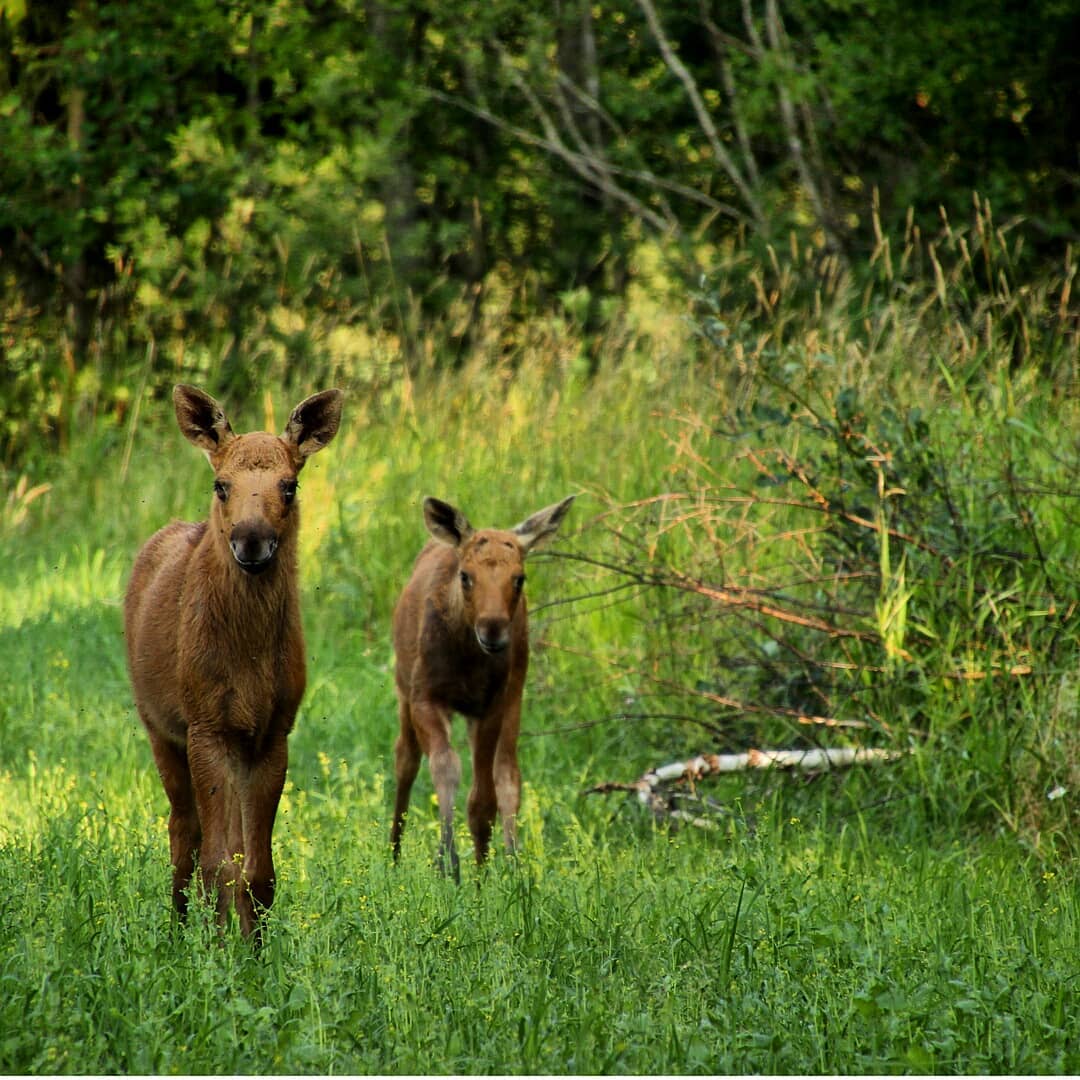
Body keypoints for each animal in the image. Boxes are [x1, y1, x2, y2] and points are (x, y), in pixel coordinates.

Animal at [388, 494, 574, 881]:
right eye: (466, 576)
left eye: (519, 578)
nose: (493, 629)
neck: (466, 664)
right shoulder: (424, 697)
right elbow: (445, 766)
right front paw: (448, 860)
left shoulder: (492, 704)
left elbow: (484, 797)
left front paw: (482, 869)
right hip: (402, 686)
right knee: (405, 759)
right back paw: (394, 855)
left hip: (515, 690)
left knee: (508, 773)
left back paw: (514, 859)